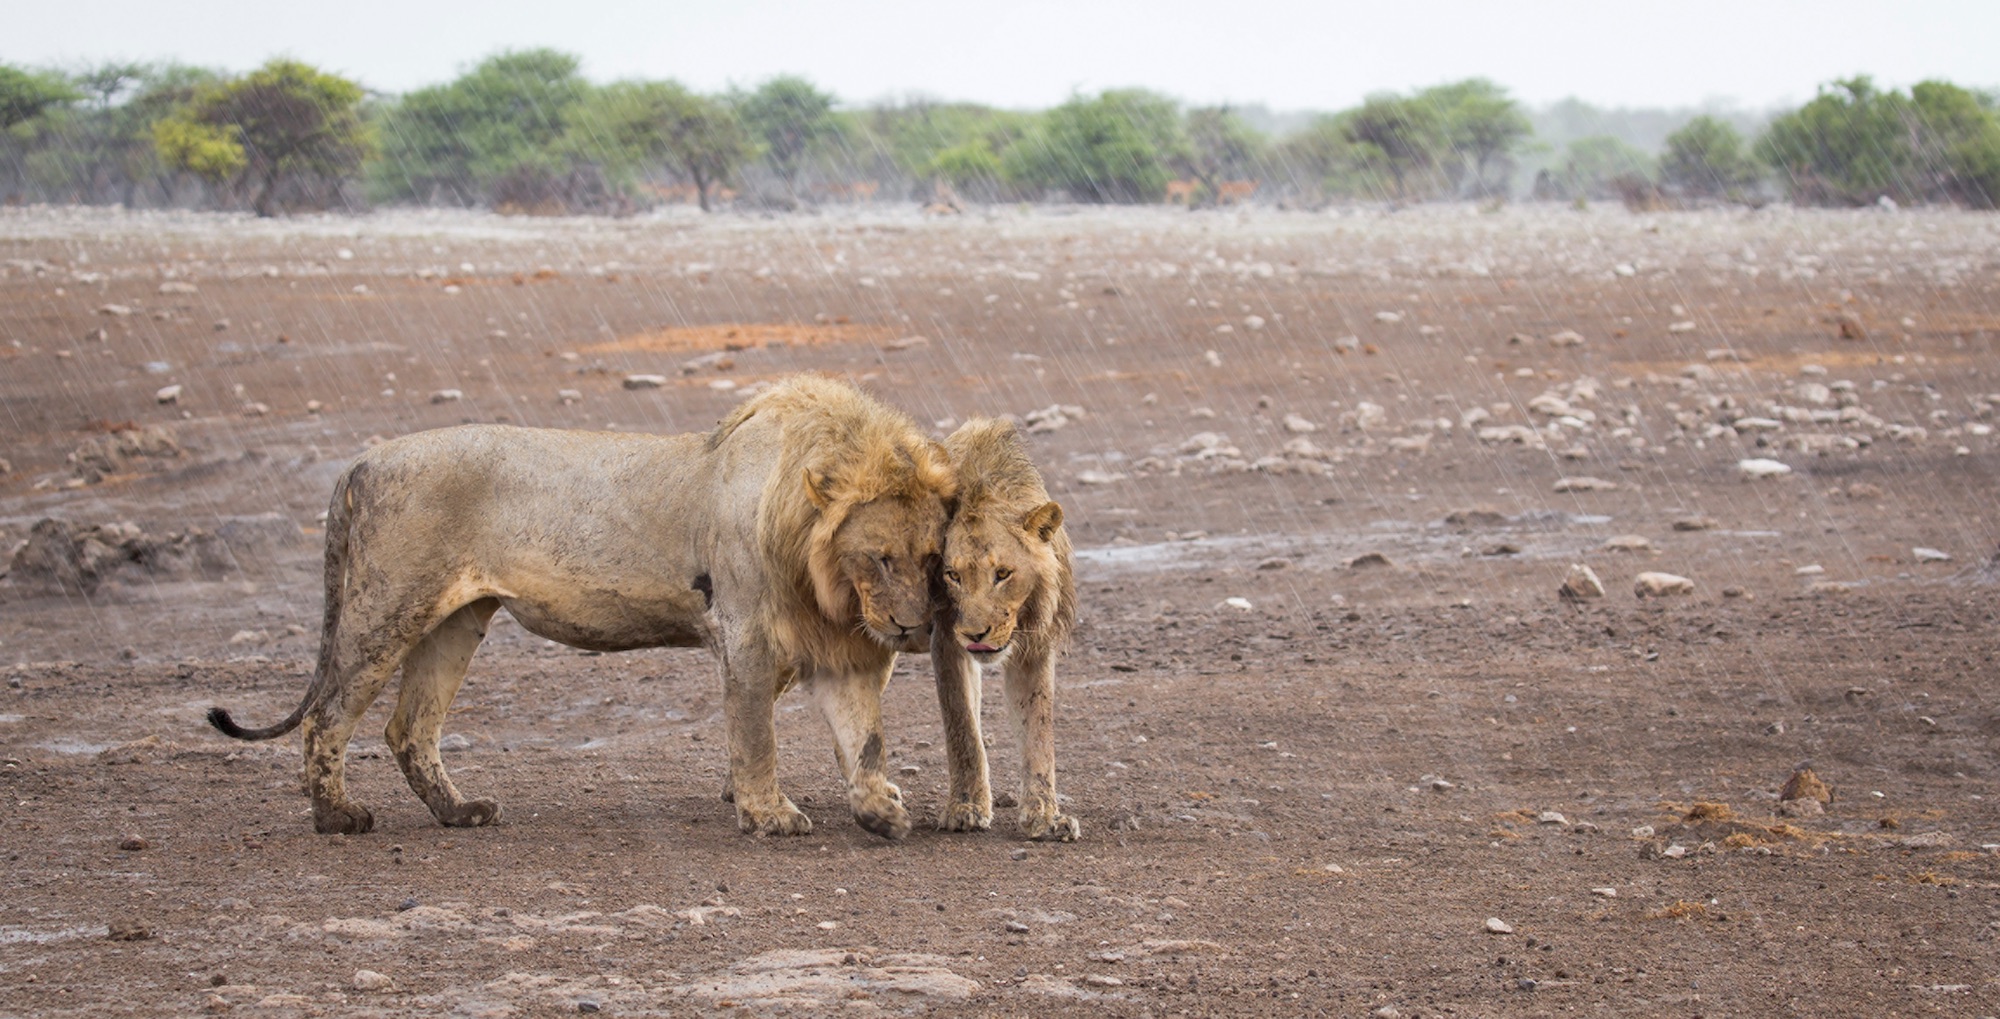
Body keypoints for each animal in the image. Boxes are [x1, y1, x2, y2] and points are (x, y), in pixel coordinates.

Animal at [207, 375, 954, 840]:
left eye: (931, 559)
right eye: (879, 557)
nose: (912, 627)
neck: (820, 575)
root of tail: (359, 463)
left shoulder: (842, 652)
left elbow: (866, 738)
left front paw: (881, 810)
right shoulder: (744, 632)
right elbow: (756, 736)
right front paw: (769, 816)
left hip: (455, 622)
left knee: (409, 728)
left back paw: (460, 812)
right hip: (385, 608)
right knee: (327, 717)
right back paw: (339, 817)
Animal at [929, 418, 1080, 841]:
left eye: (1003, 574)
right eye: (953, 575)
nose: (975, 634)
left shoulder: (1035, 646)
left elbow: (1038, 730)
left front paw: (1045, 815)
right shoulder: (946, 639)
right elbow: (961, 724)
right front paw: (965, 807)